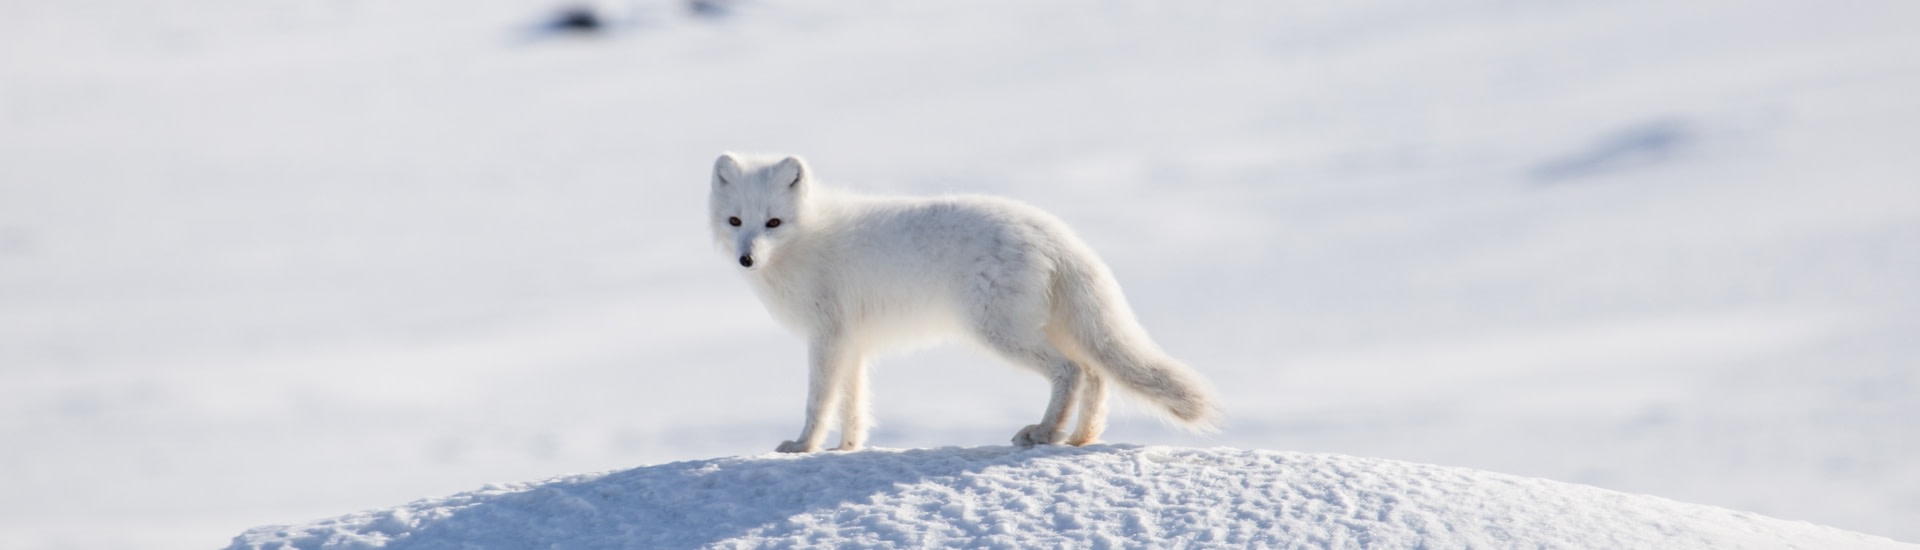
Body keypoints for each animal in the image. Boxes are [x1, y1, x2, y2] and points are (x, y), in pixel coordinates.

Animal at [706, 151, 1213, 451]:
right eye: (735, 221)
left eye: (773, 222)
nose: (747, 258)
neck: (808, 237)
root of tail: (1054, 232)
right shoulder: (852, 343)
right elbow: (854, 404)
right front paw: (847, 449)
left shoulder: (827, 338)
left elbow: (819, 401)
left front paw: (803, 446)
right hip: (1049, 327)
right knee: (1095, 374)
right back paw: (1077, 438)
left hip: (998, 330)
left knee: (1070, 371)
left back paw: (1044, 432)